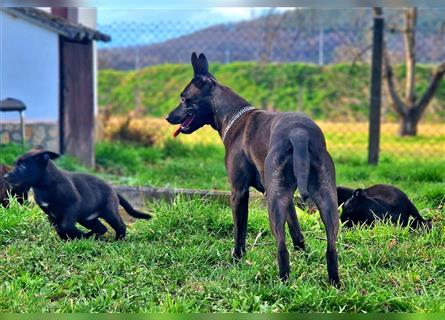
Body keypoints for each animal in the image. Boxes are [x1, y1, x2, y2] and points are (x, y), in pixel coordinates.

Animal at [3, 149, 153, 240]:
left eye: (23, 167)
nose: (5, 176)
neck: (45, 186)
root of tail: (114, 190)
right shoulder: (51, 214)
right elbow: (59, 228)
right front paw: (71, 238)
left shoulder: (72, 205)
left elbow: (65, 226)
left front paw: (76, 235)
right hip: (87, 218)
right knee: (102, 228)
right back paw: (92, 237)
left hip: (109, 212)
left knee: (120, 226)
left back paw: (117, 240)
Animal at [165, 52, 338, 284]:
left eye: (184, 98)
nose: (168, 117)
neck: (233, 115)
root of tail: (299, 134)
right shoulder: (286, 199)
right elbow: (296, 228)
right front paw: (303, 253)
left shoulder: (238, 192)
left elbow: (240, 230)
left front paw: (236, 259)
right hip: (324, 199)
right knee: (331, 248)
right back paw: (334, 283)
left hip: (273, 204)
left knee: (281, 247)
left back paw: (283, 282)